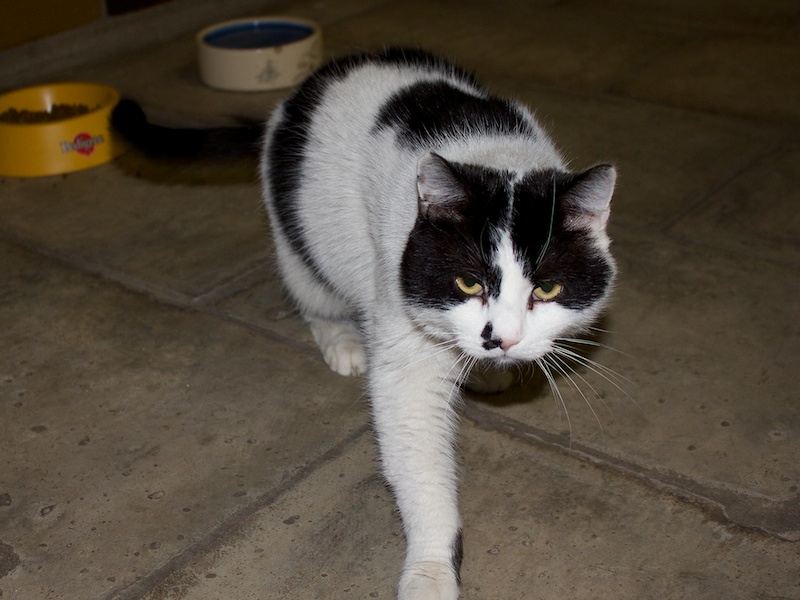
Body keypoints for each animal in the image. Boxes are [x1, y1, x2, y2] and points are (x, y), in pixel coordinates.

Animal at [113, 47, 617, 600]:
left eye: (546, 290)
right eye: (468, 283)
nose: (501, 341)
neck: (493, 153)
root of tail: (284, 108)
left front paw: (487, 372)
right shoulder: (403, 350)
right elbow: (419, 458)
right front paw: (431, 572)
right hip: (303, 246)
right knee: (313, 295)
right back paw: (343, 341)